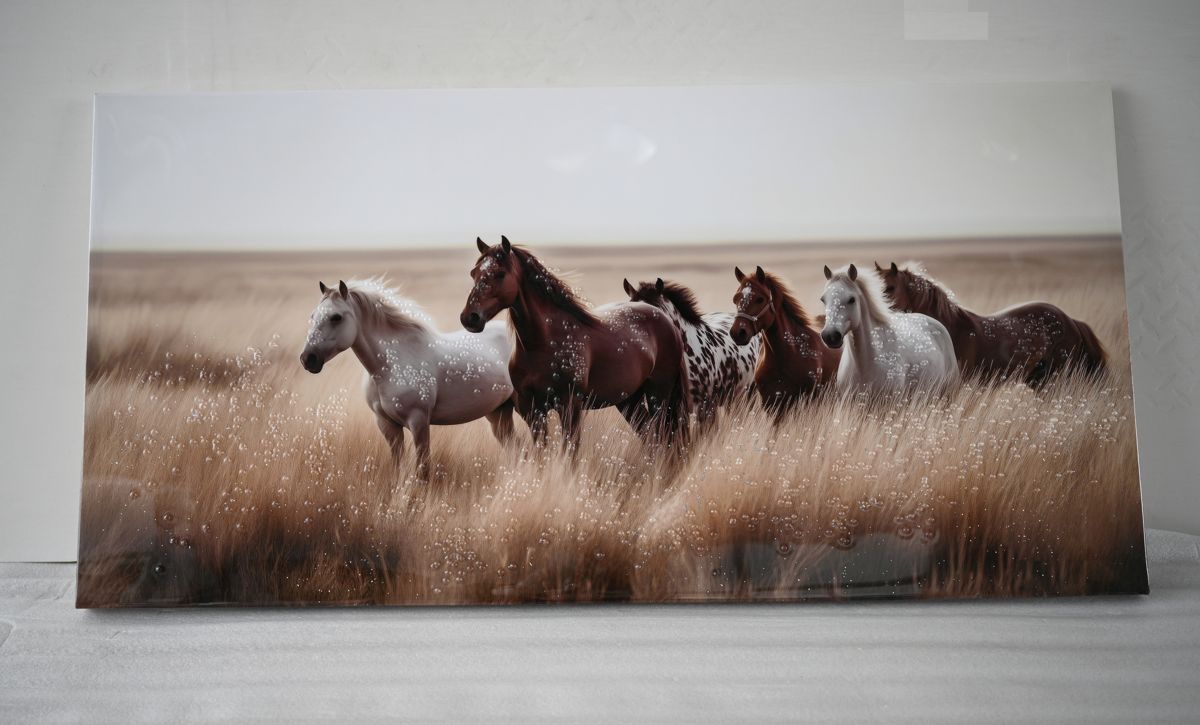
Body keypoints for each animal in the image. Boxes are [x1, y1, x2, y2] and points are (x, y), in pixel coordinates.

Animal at [300, 278, 515, 473]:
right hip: (498, 413)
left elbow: (423, 469)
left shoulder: (418, 422)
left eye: (336, 317)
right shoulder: (387, 425)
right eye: (312, 316)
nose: (307, 359)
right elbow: (398, 466)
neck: (389, 367)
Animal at [460, 236, 690, 453]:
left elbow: (570, 453)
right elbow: (541, 455)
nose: (469, 318)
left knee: (661, 438)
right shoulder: (532, 410)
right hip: (629, 399)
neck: (541, 344)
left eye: (500, 274)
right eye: (473, 273)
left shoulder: (569, 406)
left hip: (658, 395)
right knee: (649, 437)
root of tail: (664, 318)